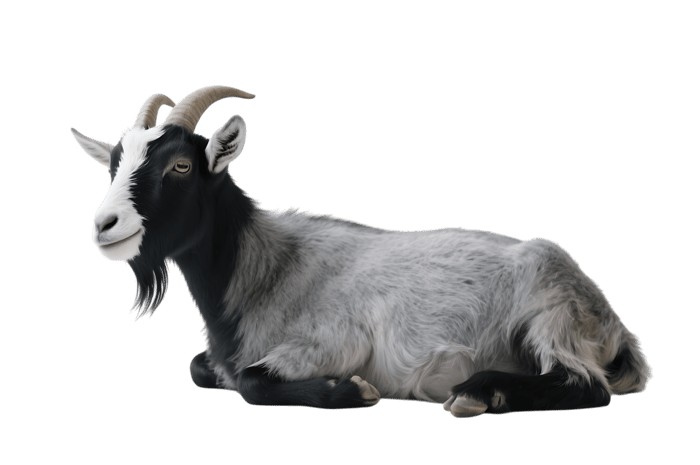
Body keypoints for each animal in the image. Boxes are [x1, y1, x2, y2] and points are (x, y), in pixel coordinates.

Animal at [71, 85, 651, 417]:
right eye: (114, 164)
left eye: (181, 165)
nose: (104, 226)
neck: (267, 268)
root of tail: (612, 322)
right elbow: (199, 368)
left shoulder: (333, 341)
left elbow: (254, 383)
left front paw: (354, 391)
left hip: (548, 319)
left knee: (587, 384)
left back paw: (474, 394)